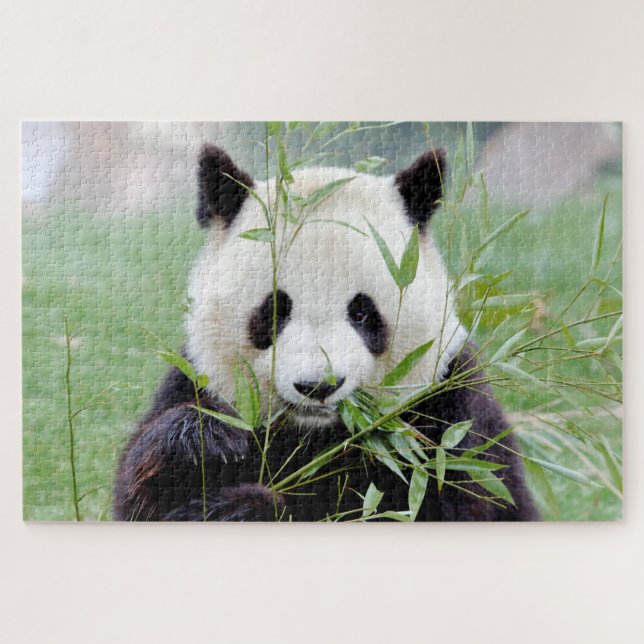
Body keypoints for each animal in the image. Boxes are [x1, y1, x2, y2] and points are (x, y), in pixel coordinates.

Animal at [113, 143, 538, 522]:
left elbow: (428, 500)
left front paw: (250, 508)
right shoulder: (199, 380)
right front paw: (206, 443)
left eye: (362, 312)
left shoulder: (446, 411)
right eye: (274, 311)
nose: (318, 386)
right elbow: (146, 494)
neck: (316, 434)